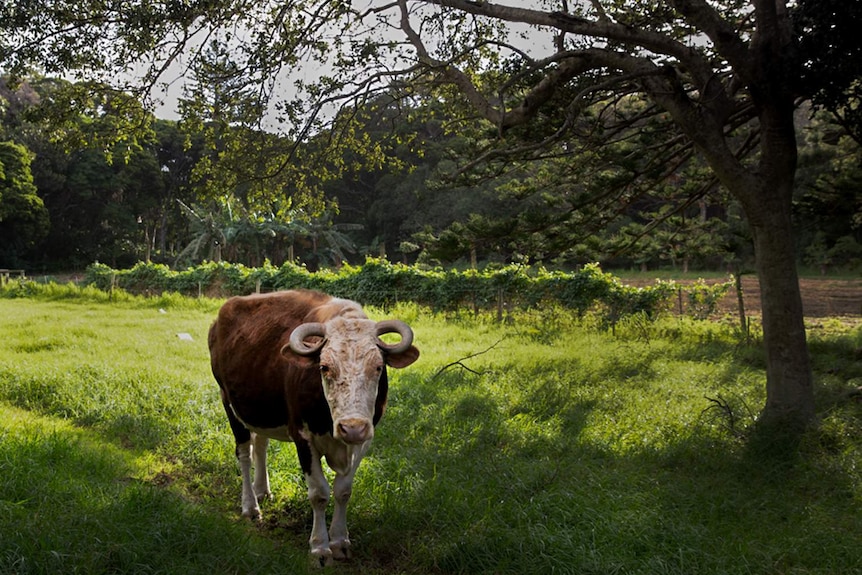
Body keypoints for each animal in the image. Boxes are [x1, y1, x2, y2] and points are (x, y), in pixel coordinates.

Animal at [211, 290, 424, 564]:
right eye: (324, 367)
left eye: (378, 367)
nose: (351, 427)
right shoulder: (303, 437)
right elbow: (319, 493)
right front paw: (320, 547)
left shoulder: (365, 439)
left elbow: (343, 490)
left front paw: (340, 541)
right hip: (229, 403)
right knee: (244, 454)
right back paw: (250, 506)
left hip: (260, 409)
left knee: (261, 445)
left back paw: (262, 490)